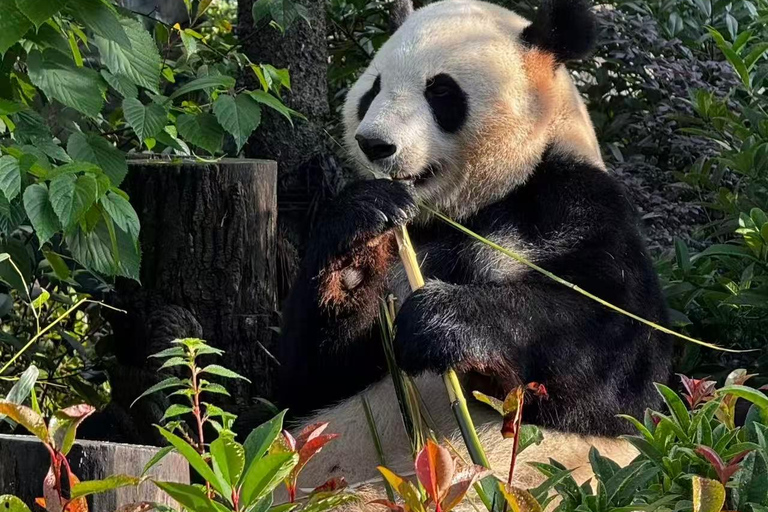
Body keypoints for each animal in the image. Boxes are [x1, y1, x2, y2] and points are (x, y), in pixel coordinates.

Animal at [277, 0, 672, 505]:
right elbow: (308, 382)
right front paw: (358, 237)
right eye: (373, 89)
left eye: (441, 91)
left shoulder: (574, 203)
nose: (374, 143)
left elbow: (623, 363)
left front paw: (440, 321)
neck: (466, 208)